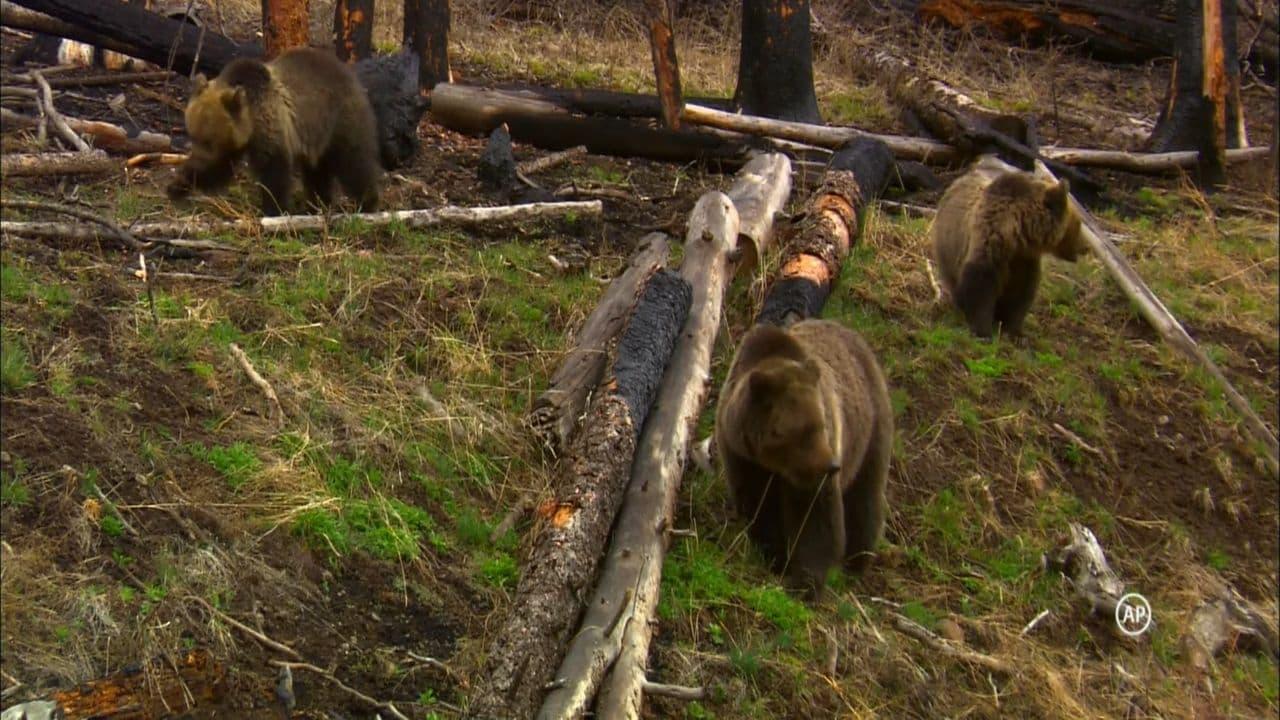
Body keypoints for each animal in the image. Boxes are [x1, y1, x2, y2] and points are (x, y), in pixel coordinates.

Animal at [167, 46, 381, 215]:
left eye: (209, 140)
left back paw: (367, 203)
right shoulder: (235, 140)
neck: (251, 120)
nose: (197, 159)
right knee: (317, 171)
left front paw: (274, 209)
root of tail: (345, 70)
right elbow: (219, 166)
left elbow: (273, 171)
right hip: (316, 135)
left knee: (354, 161)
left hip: (339, 118)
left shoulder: (271, 126)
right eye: (192, 135)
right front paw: (177, 185)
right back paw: (316, 205)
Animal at [716, 316, 896, 597]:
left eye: (821, 423)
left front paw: (806, 581)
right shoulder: (742, 458)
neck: (775, 464)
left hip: (870, 429)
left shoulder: (810, 474)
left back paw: (857, 563)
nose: (832, 465)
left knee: (865, 498)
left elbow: (815, 519)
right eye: (799, 430)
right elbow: (759, 508)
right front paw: (775, 557)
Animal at [926, 158, 1085, 335]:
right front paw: (983, 329)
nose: (1084, 247)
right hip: (947, 249)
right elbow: (979, 285)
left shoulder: (1023, 259)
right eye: (1079, 224)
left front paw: (1013, 329)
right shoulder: (989, 244)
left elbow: (1020, 293)